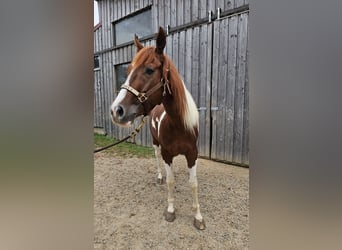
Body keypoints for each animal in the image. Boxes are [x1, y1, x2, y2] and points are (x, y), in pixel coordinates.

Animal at [111, 26, 204, 229]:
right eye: (128, 69)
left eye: (149, 70)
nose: (116, 111)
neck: (178, 124)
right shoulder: (168, 154)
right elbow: (170, 181)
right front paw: (170, 210)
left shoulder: (192, 154)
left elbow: (193, 183)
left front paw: (198, 216)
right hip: (155, 143)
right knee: (157, 158)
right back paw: (159, 176)